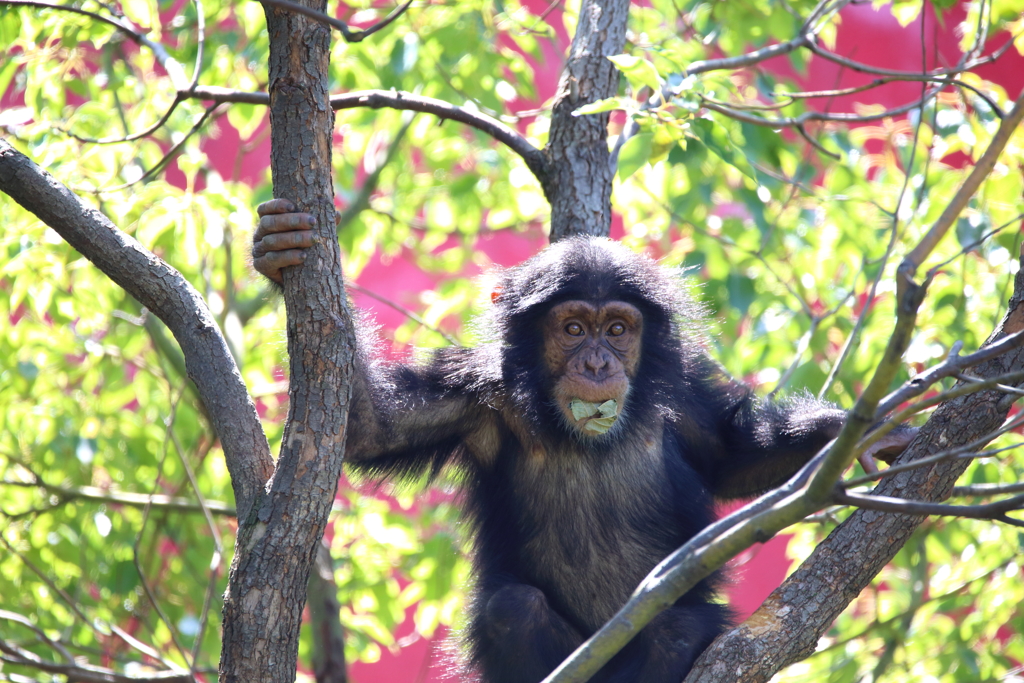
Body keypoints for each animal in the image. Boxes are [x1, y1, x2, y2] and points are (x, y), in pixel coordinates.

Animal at [249, 198, 913, 683]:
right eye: (572, 329)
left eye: (617, 329)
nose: (596, 363)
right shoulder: (471, 396)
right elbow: (373, 425)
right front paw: (279, 251)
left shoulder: (684, 398)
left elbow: (734, 457)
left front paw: (849, 433)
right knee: (514, 609)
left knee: (674, 627)